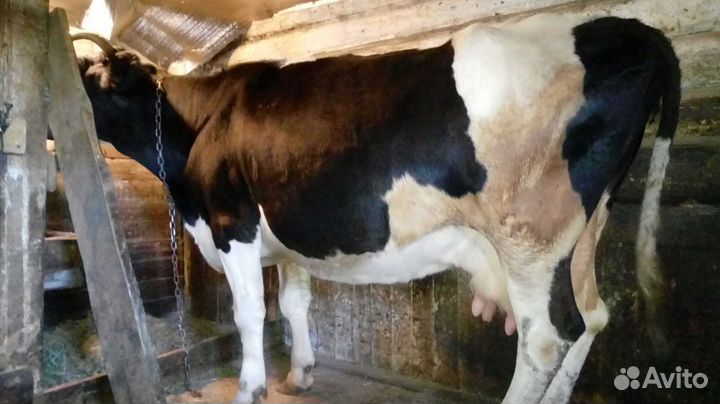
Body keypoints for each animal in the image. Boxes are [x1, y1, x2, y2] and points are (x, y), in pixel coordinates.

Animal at [73, 13, 680, 404]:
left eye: (88, 77)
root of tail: (641, 32)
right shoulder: (289, 234)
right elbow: (294, 305)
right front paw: (300, 376)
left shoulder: (232, 221)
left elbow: (250, 315)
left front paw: (250, 388)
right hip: (585, 229)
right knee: (593, 317)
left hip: (527, 236)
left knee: (543, 342)